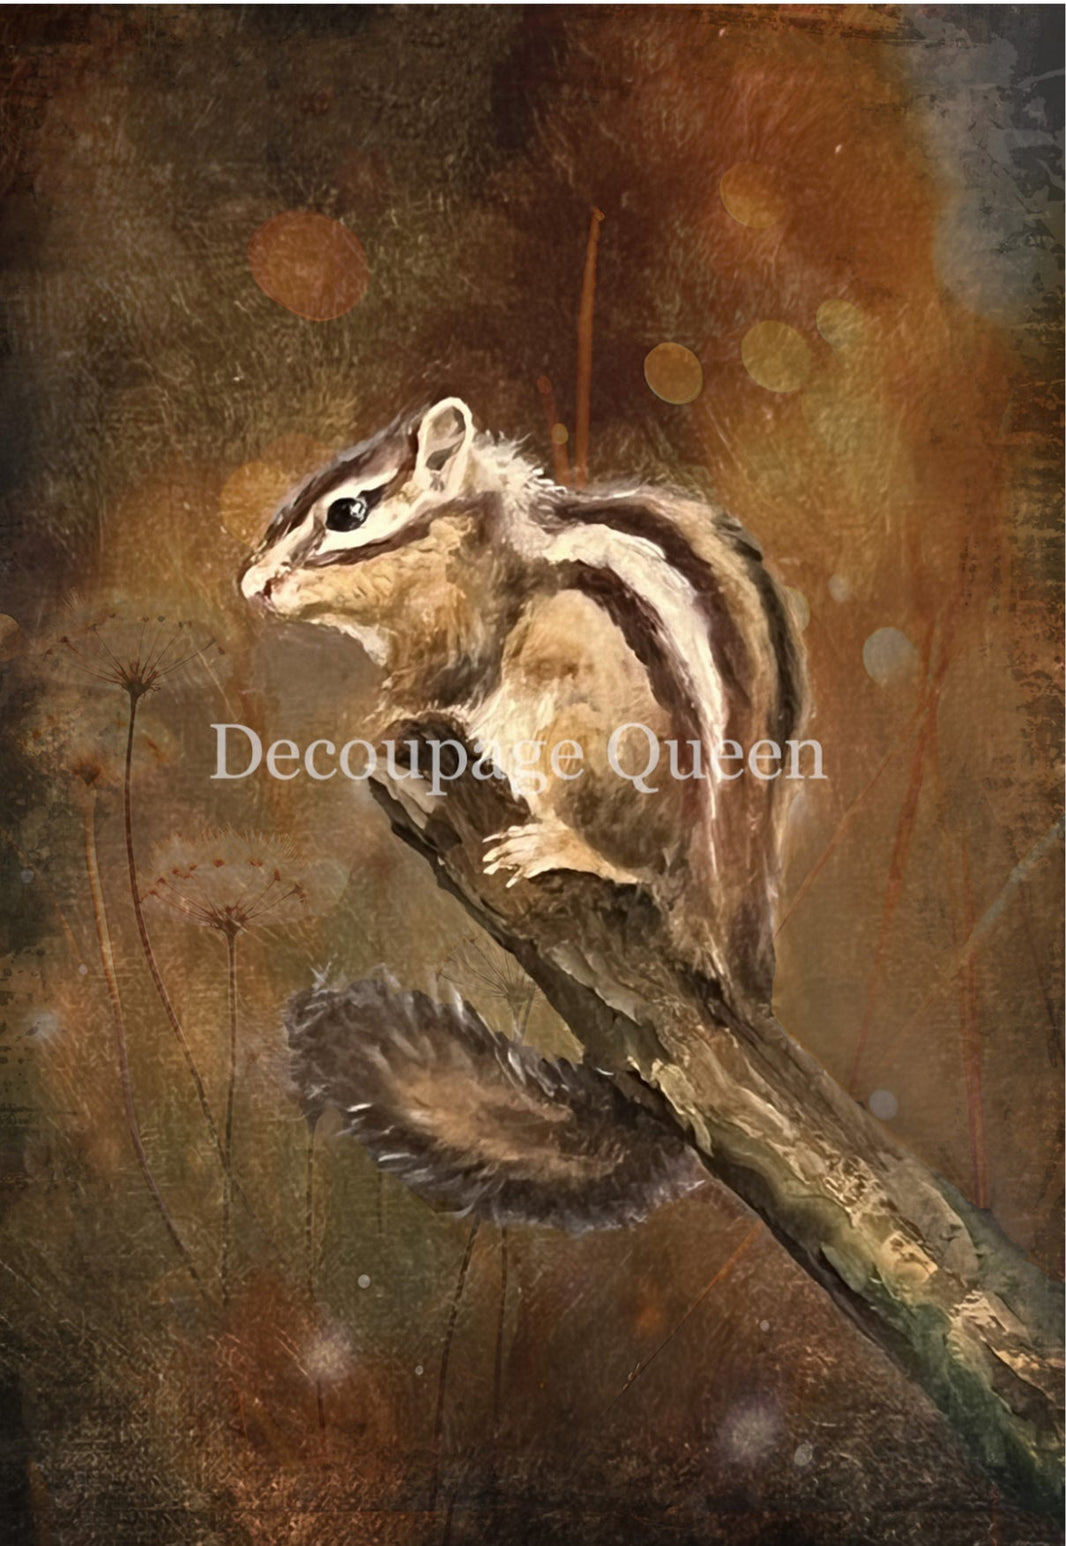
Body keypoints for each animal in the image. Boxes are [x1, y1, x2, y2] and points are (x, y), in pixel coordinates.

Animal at [239, 397, 806, 1231]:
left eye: (347, 512)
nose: (251, 584)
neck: (478, 528)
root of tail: (727, 946)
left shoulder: (463, 629)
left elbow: (429, 683)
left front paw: (374, 717)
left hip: (580, 736)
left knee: (635, 862)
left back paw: (558, 845)